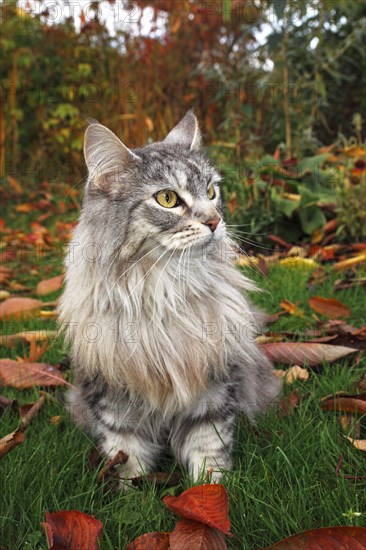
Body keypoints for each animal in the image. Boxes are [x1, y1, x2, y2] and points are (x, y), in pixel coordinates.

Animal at [58, 110, 280, 486]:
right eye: (167, 199)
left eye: (211, 191)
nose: (215, 221)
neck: (164, 292)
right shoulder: (114, 394)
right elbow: (125, 453)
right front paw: (132, 495)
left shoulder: (214, 385)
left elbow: (209, 449)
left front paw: (211, 493)